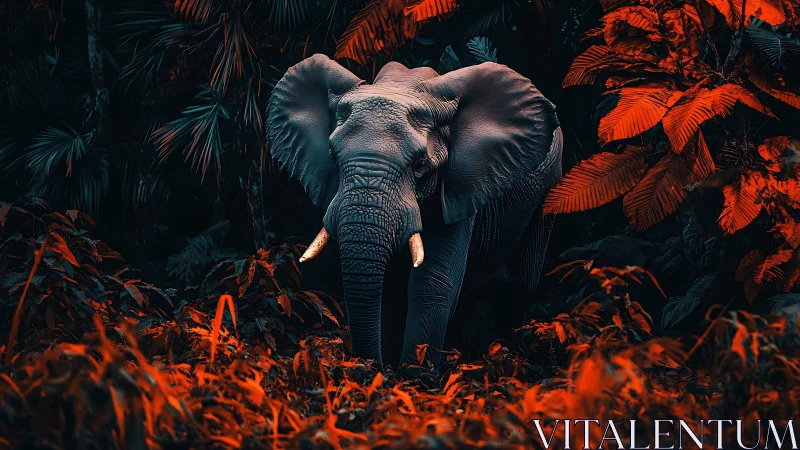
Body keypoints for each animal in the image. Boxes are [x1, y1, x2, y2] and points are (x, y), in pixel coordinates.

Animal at [267, 54, 562, 369]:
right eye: (333, 157)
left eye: (420, 165)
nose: (372, 365)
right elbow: (390, 287)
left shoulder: (459, 187)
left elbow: (431, 284)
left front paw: (413, 376)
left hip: (547, 193)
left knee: (519, 290)